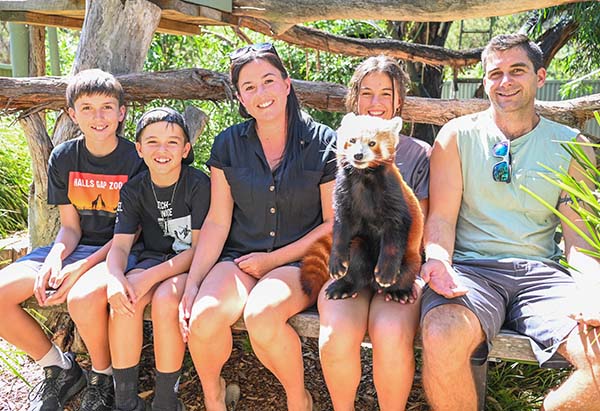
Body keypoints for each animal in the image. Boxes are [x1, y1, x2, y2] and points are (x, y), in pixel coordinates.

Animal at [298, 112, 422, 302]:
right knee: (356, 256)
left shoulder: (394, 196)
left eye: (372, 143)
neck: (363, 177)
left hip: (411, 257)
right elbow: (341, 229)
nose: (358, 155)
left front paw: (386, 272)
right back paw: (345, 286)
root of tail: (373, 285)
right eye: (352, 140)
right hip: (359, 246)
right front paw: (336, 262)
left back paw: (400, 291)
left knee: (408, 270)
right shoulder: (343, 193)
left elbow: (395, 234)